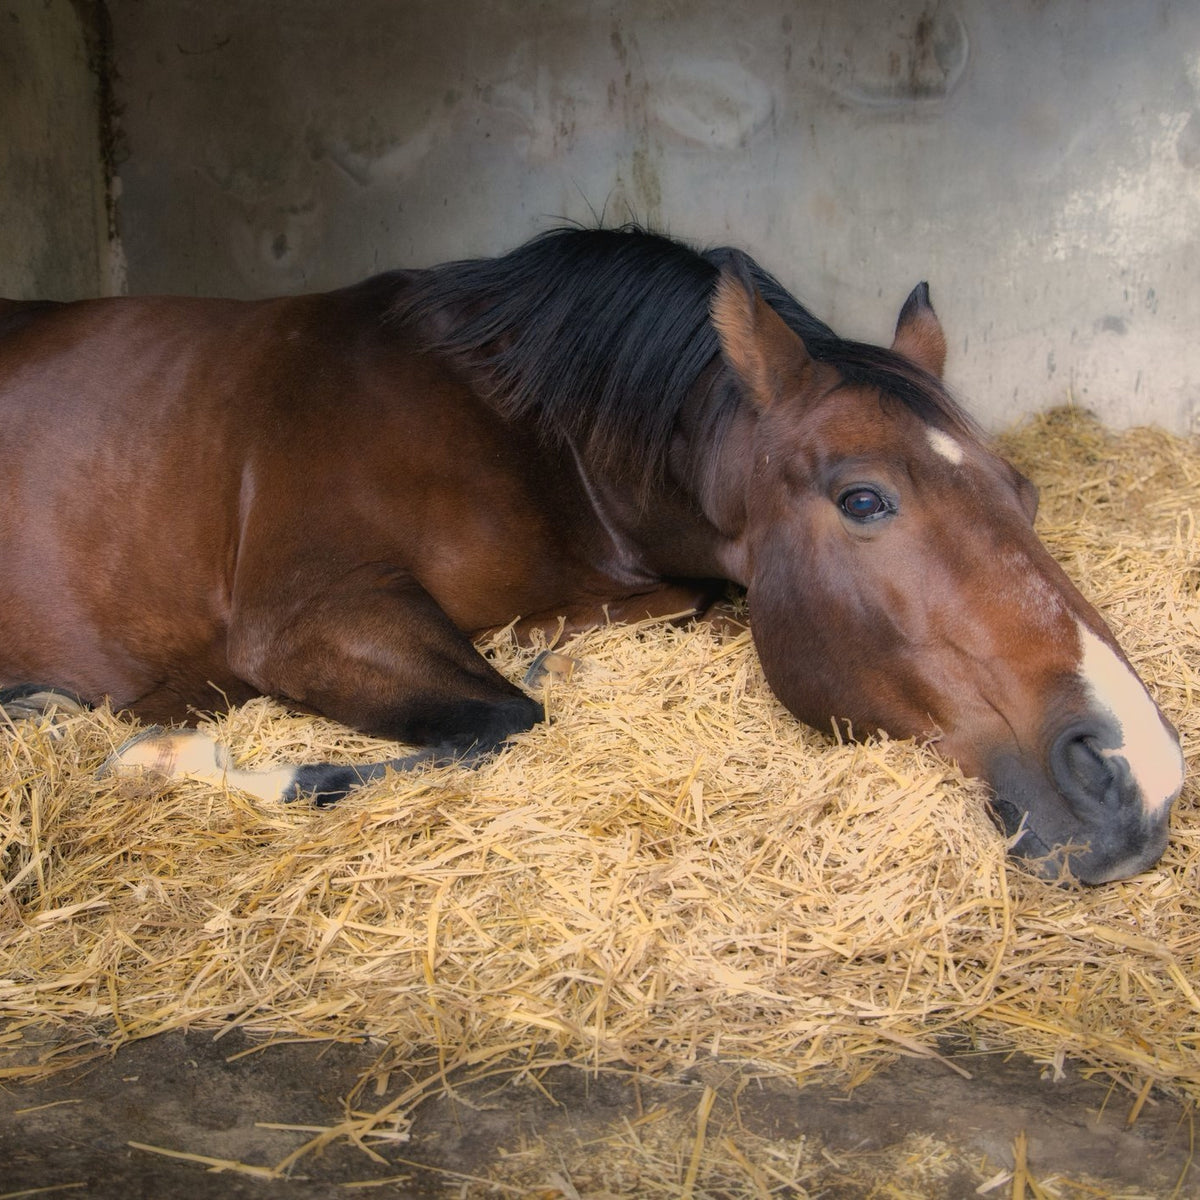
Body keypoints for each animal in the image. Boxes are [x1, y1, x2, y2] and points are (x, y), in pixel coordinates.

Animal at [0, 227, 1183, 884]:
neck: (520, 430)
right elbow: (504, 720)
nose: (1142, 773)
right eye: (863, 499)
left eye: (1025, 492)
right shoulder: (313, 615)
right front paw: (158, 760)